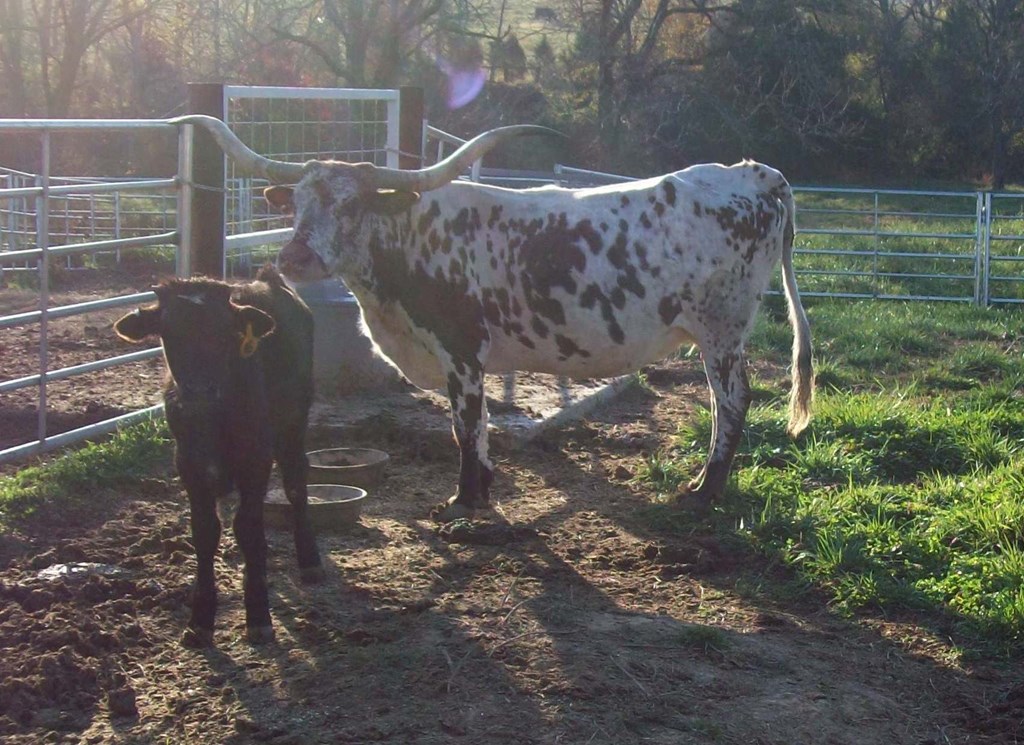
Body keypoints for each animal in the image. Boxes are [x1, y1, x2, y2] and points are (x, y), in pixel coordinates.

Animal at [114, 265, 322, 646]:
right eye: (169, 332)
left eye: (225, 332)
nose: (199, 391)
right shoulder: (188, 465)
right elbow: (205, 532)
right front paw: (200, 620)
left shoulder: (256, 458)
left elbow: (249, 528)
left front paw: (258, 615)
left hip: (294, 419)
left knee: (297, 480)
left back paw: (309, 559)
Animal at [170, 115, 813, 522]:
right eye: (299, 204)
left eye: (351, 205)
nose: (295, 257)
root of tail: (753, 172)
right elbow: (476, 428)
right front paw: (480, 490)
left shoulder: (460, 353)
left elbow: (464, 425)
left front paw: (464, 501)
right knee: (725, 404)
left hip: (721, 331)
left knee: (733, 401)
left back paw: (704, 491)